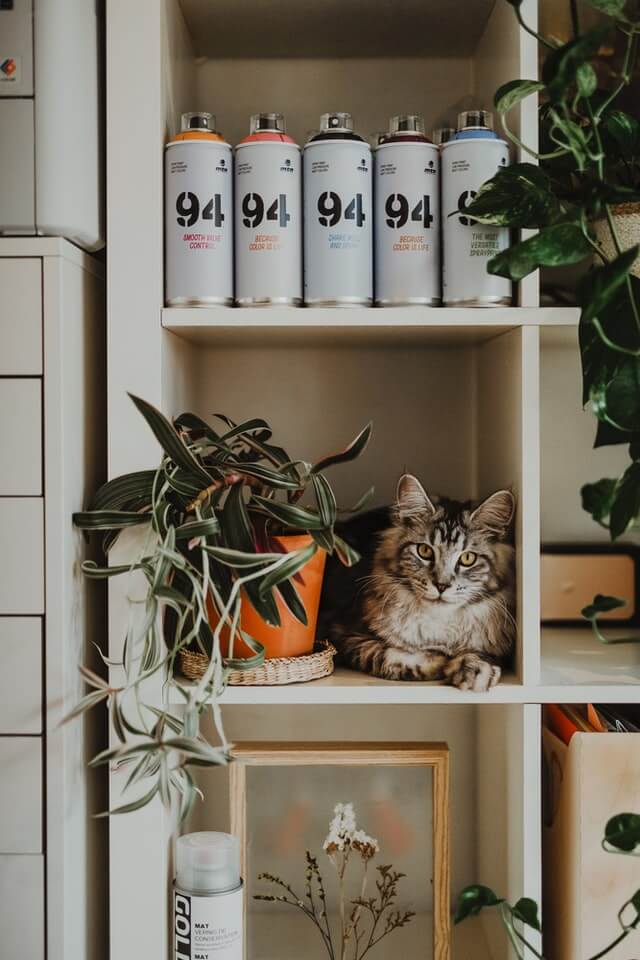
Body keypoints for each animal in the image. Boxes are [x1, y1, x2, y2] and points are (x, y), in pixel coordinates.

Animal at [318, 478, 516, 688]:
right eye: (424, 551)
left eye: (468, 558)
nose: (441, 585)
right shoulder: (343, 632)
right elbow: (384, 655)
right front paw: (439, 661)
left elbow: (480, 654)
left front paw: (474, 670)